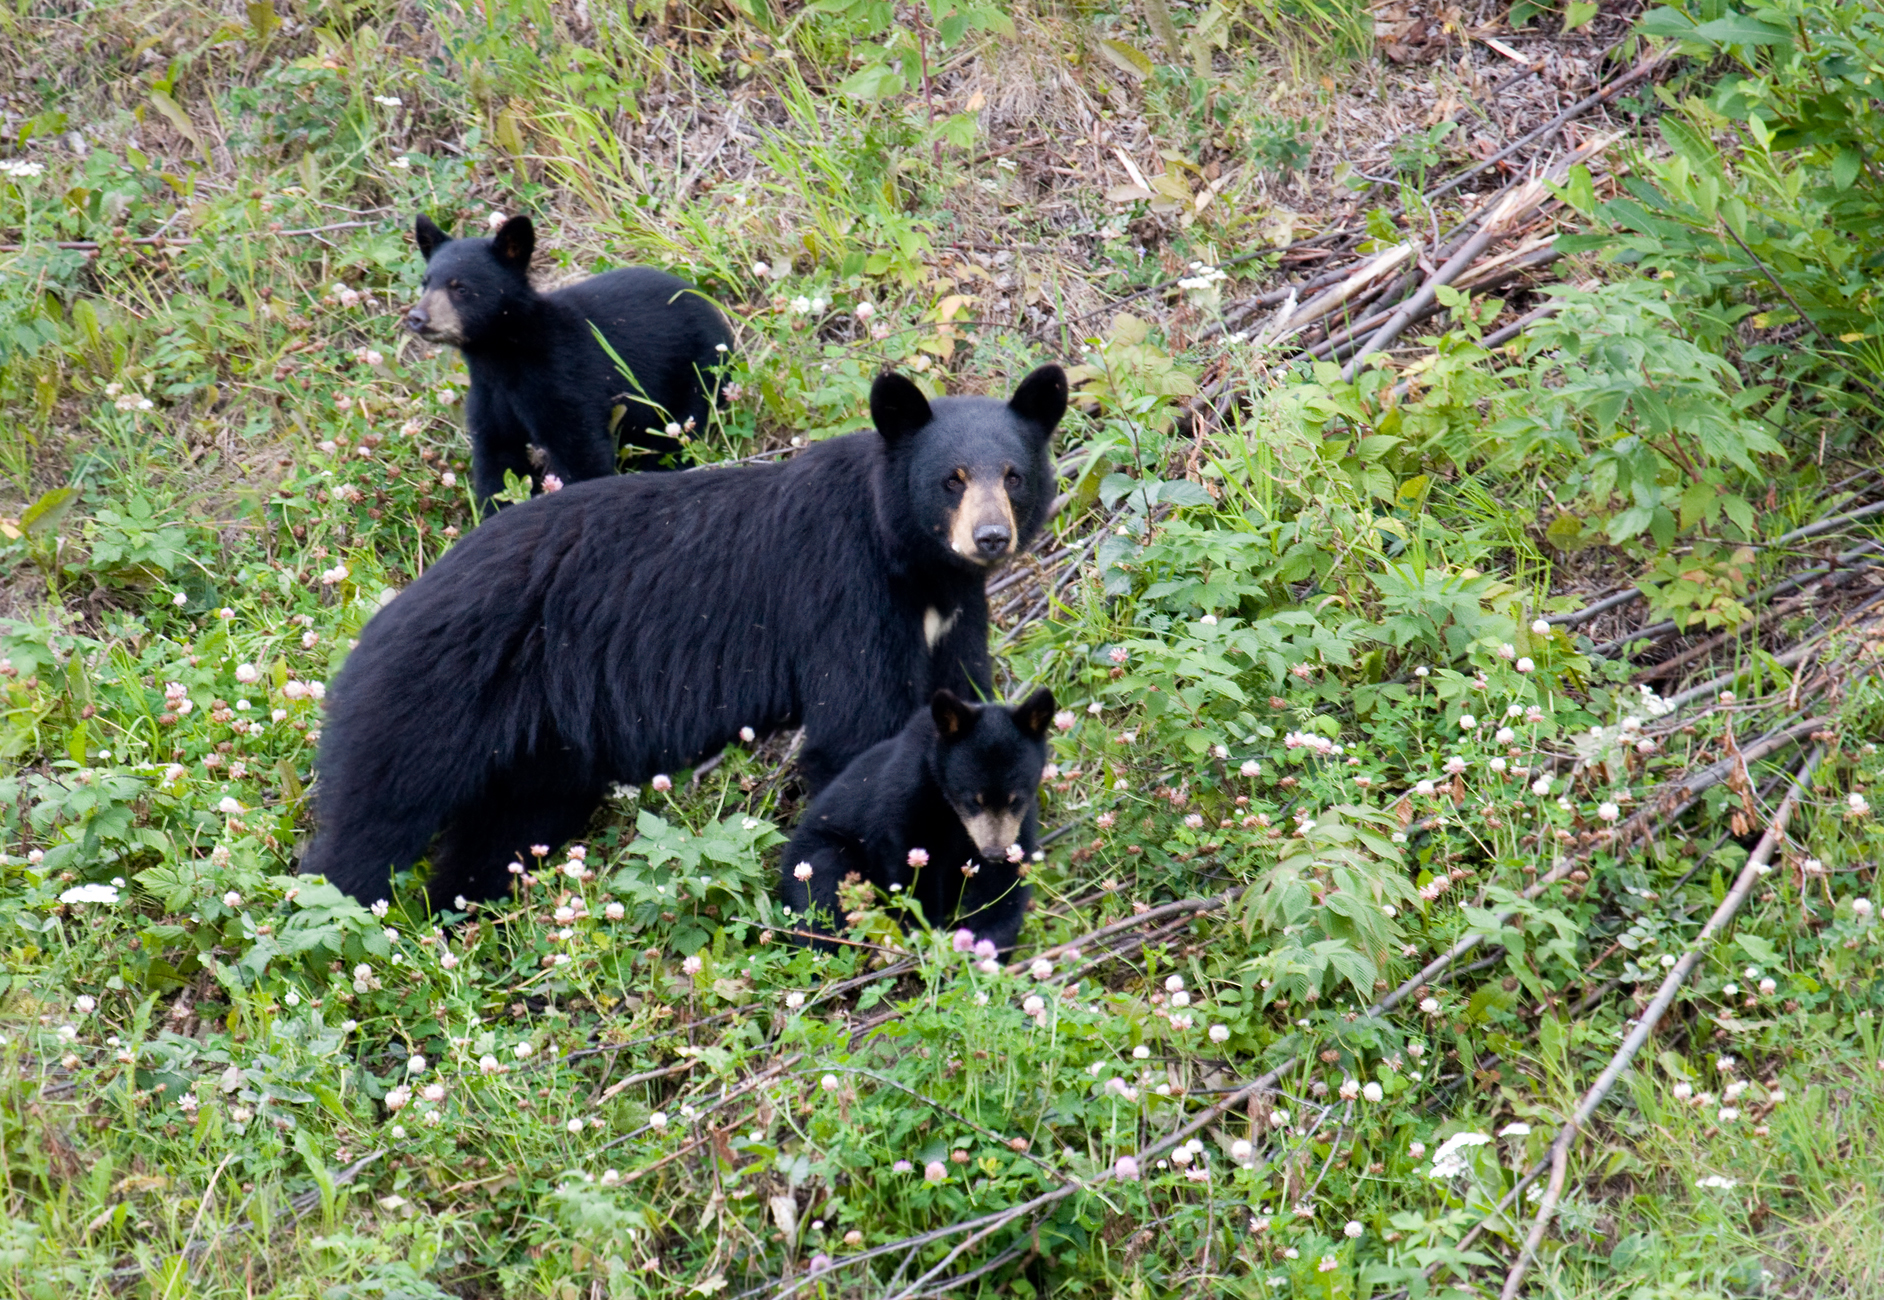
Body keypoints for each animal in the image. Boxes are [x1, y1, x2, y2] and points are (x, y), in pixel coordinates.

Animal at [301, 365, 1069, 909]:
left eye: (1014, 476)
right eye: (951, 480)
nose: (990, 537)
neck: (916, 567)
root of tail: (371, 626)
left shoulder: (955, 619)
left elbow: (966, 707)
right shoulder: (844, 595)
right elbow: (857, 733)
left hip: (539, 757)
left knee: (499, 837)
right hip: (431, 701)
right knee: (369, 823)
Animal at [406, 213, 733, 511]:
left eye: (460, 288)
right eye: (425, 283)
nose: (417, 317)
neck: (502, 357)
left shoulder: (564, 376)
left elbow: (580, 451)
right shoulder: (489, 396)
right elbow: (498, 461)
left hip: (696, 375)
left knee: (674, 440)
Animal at [779, 687, 1055, 954]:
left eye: (1015, 799)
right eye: (972, 800)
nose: (994, 852)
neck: (949, 807)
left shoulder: (1018, 821)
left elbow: (1003, 883)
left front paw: (989, 946)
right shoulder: (908, 794)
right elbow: (911, 872)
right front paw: (925, 935)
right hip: (815, 858)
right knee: (823, 890)